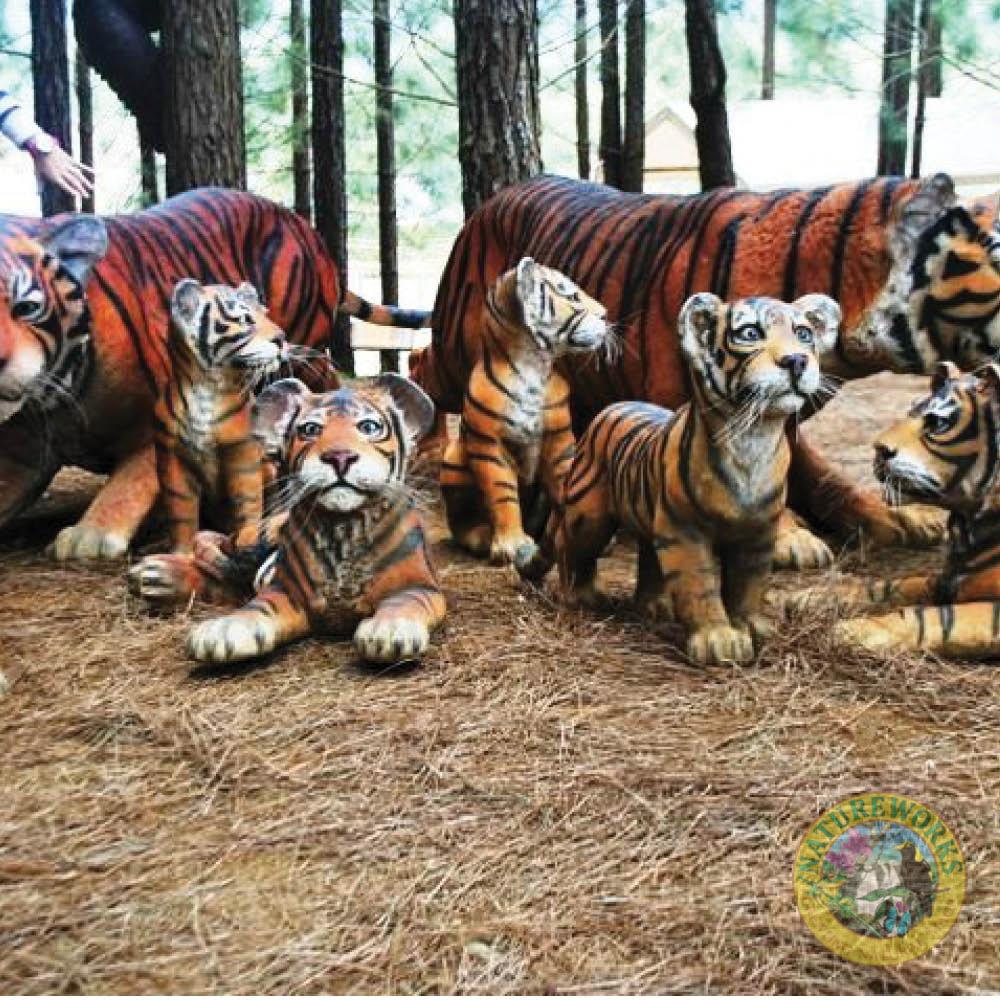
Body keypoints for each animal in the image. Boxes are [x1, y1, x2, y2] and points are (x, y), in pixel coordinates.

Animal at [0, 189, 429, 561]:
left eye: (25, 306)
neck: (54, 397)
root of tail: (303, 224)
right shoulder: (22, 448)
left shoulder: (154, 426)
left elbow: (131, 482)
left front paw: (90, 534)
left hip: (301, 340)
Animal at [185, 375, 447, 666]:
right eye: (310, 429)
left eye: (368, 427)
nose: (340, 457)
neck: (343, 527)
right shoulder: (286, 590)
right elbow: (260, 606)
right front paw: (225, 628)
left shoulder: (421, 586)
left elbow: (404, 601)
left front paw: (389, 629)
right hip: (259, 533)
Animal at [439, 257, 614, 574]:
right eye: (572, 297)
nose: (606, 314)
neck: (534, 364)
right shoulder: (489, 445)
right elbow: (502, 493)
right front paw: (512, 545)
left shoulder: (559, 439)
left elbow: (566, 479)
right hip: (453, 458)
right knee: (461, 525)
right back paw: (483, 536)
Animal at [554, 292, 840, 666]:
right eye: (750, 333)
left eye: (804, 334)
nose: (796, 360)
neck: (755, 441)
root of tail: (613, 406)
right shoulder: (684, 529)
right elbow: (699, 584)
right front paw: (718, 640)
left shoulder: (758, 531)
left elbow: (749, 584)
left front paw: (753, 627)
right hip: (589, 516)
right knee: (569, 543)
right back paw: (579, 595)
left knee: (649, 557)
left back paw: (656, 606)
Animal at [789, 362, 1000, 659]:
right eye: (910, 411)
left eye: (937, 423)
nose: (878, 449)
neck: (966, 523)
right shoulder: (943, 578)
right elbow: (892, 585)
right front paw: (810, 597)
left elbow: (931, 616)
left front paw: (850, 631)